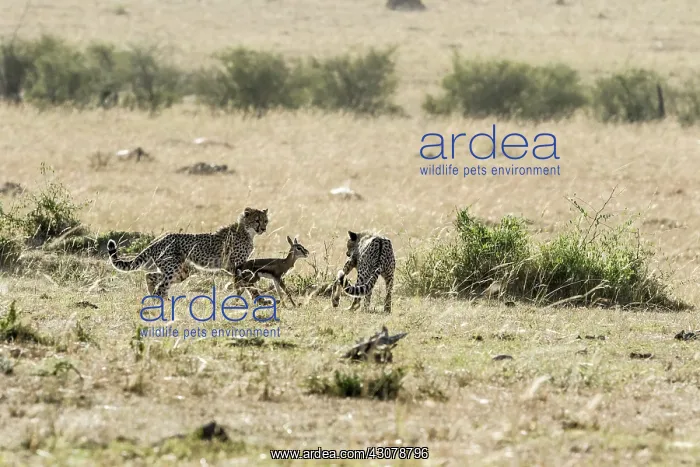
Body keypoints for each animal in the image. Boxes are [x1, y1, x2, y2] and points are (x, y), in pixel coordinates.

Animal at [107, 207, 269, 299]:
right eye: (256, 220)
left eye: (265, 220)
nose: (263, 229)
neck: (247, 231)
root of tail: (159, 239)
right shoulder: (236, 265)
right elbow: (246, 284)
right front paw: (257, 299)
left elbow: (244, 283)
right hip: (173, 269)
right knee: (161, 287)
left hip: (180, 271)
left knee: (151, 277)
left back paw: (155, 298)